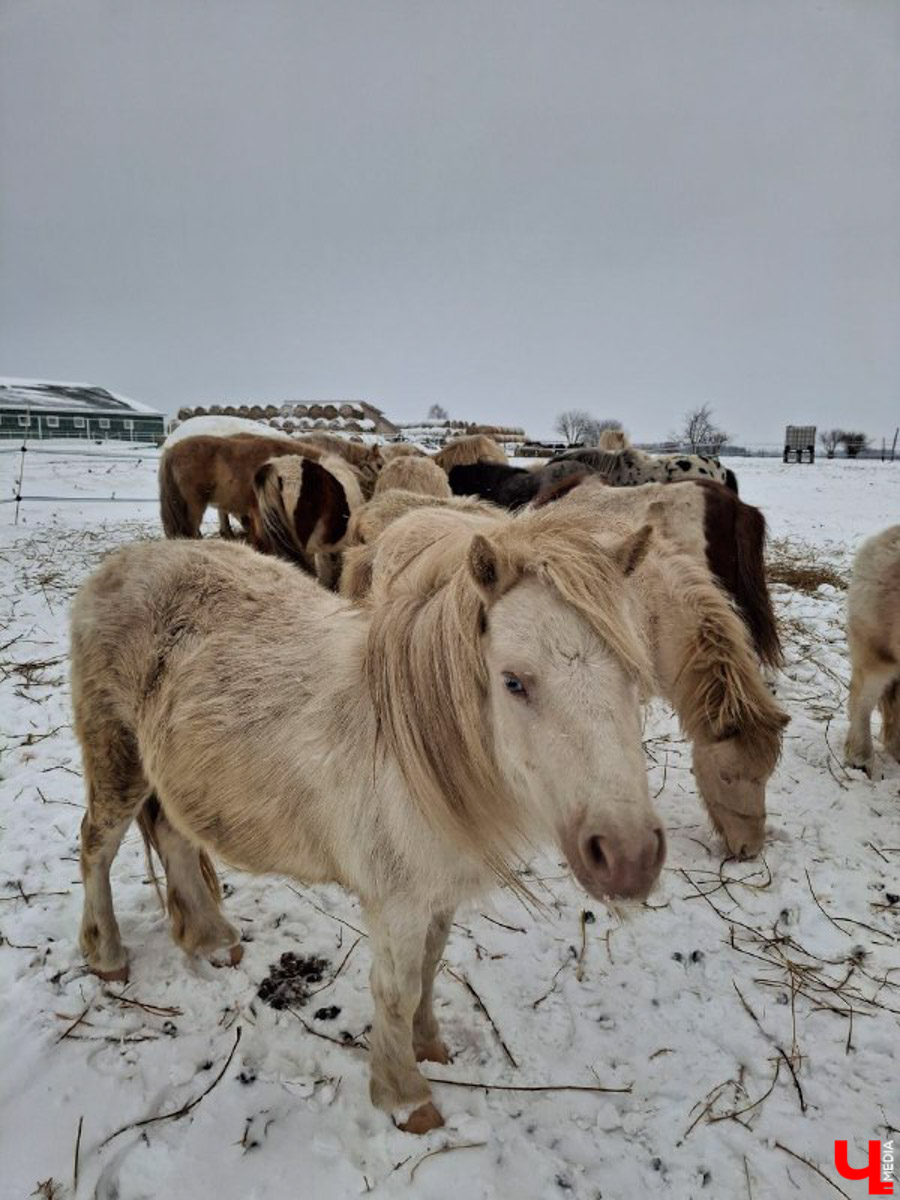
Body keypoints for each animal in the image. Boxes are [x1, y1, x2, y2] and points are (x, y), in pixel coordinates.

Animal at [72, 518, 662, 1132]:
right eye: (514, 682)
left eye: (634, 674)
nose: (629, 856)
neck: (416, 753)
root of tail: (118, 565)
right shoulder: (396, 902)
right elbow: (397, 990)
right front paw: (405, 1097)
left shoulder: (438, 892)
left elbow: (429, 967)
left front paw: (429, 1046)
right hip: (117, 759)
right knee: (96, 847)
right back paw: (108, 957)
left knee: (175, 839)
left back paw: (213, 941)